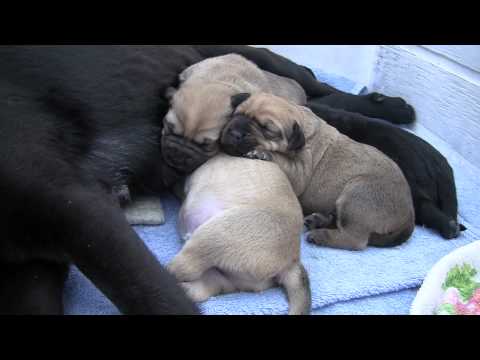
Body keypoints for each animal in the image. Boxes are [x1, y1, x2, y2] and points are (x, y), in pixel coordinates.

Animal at [168, 155, 312, 316]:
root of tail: (292, 262)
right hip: (226, 277)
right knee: (206, 287)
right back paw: (185, 289)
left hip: (213, 236)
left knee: (180, 269)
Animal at [221, 93, 416, 250]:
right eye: (237, 114)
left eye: (267, 129)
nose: (235, 133)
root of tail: (409, 217)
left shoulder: (299, 171)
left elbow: (281, 159)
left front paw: (262, 153)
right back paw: (319, 221)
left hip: (358, 196)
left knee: (355, 240)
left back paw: (321, 236)